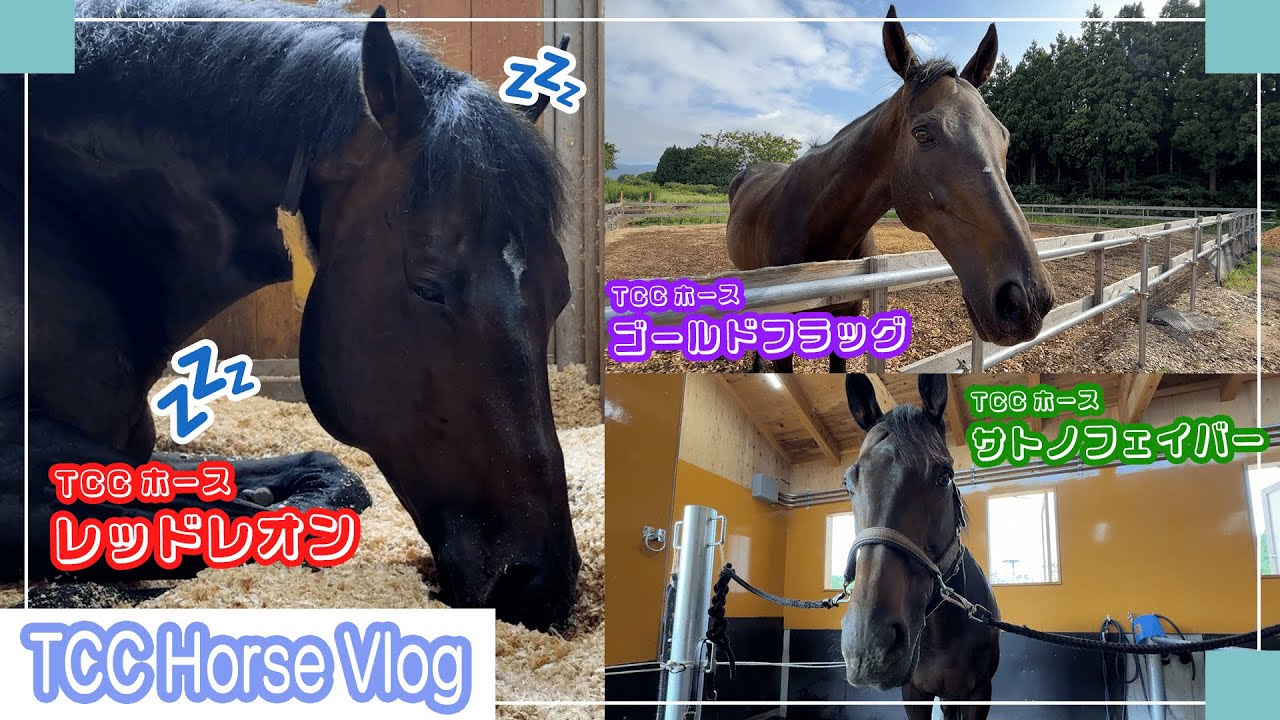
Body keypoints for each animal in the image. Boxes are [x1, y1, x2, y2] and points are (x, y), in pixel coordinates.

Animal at [840, 374, 1000, 718]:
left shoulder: (979, 693)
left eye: (945, 477)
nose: (868, 646)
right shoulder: (914, 693)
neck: (942, 632)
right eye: (848, 483)